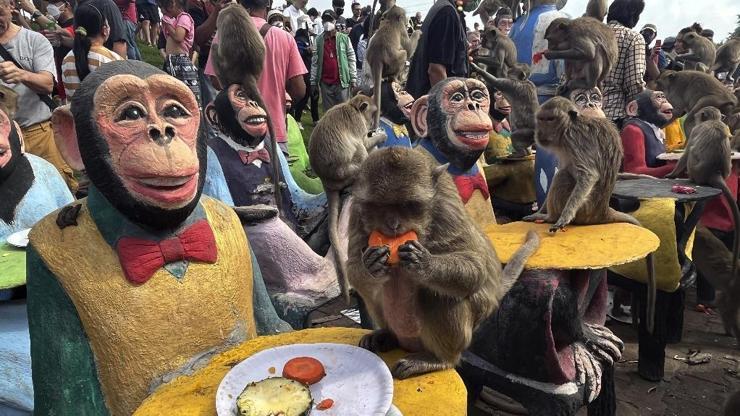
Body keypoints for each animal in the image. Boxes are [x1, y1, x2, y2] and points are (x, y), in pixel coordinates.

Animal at [346, 147, 536, 380]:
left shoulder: (447, 207)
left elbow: (475, 267)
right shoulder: (356, 211)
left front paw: (424, 264)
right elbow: (353, 264)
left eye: (408, 205)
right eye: (381, 206)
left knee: (438, 295)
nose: (393, 224)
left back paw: (439, 359)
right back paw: (386, 335)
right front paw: (370, 265)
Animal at [524, 96, 656, 332]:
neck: (569, 127)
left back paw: (551, 217)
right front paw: (539, 209)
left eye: (550, 119)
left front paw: (562, 217)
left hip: (585, 210)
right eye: (541, 119)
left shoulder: (575, 140)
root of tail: (602, 211)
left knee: (565, 177)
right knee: (564, 173)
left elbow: (587, 175)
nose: (540, 133)